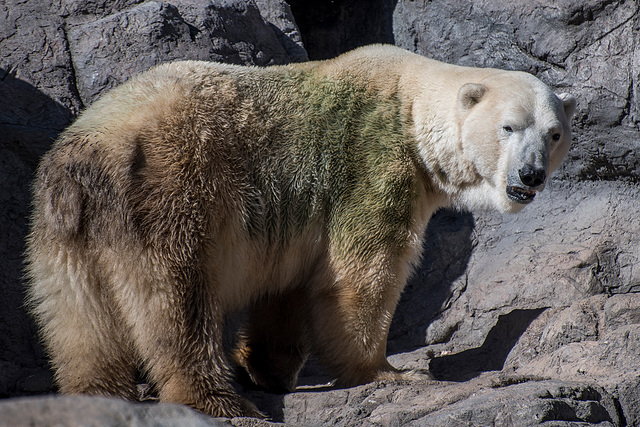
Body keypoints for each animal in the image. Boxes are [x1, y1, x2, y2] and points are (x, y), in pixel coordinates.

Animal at [25, 44, 576, 418]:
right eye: (508, 127)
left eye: (553, 133)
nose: (531, 175)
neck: (411, 108)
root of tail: (89, 156)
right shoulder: (372, 165)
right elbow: (363, 273)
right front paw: (386, 370)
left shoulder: (295, 213)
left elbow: (287, 288)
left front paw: (269, 367)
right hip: (171, 189)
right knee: (176, 298)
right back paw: (221, 401)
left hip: (62, 227)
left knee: (77, 319)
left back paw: (94, 395)